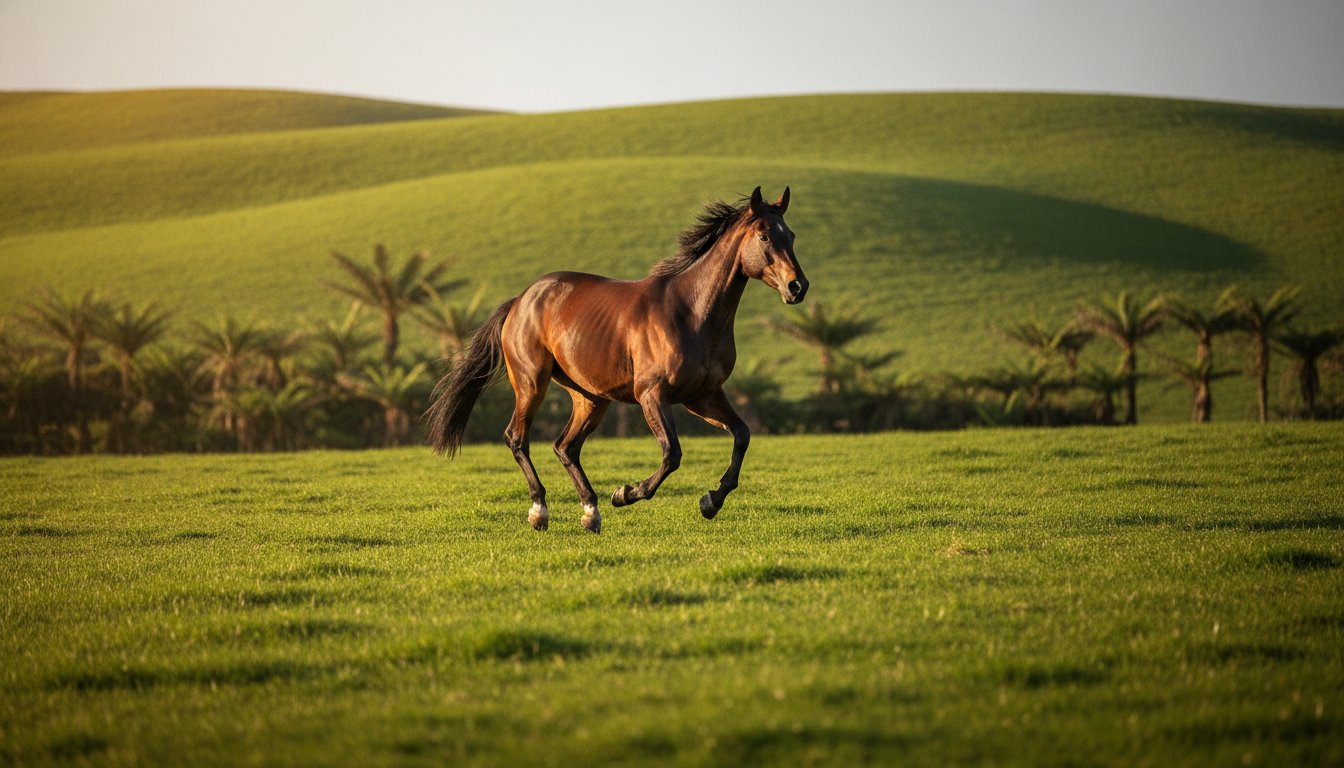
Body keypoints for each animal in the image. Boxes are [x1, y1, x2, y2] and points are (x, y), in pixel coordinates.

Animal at [426, 186, 808, 533]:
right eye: (764, 235)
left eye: (790, 235)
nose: (797, 287)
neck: (693, 313)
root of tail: (520, 301)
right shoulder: (652, 394)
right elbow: (672, 454)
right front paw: (625, 493)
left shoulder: (704, 396)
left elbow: (742, 435)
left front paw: (711, 501)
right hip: (532, 383)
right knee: (517, 438)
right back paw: (540, 512)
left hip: (590, 397)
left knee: (565, 447)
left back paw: (590, 514)